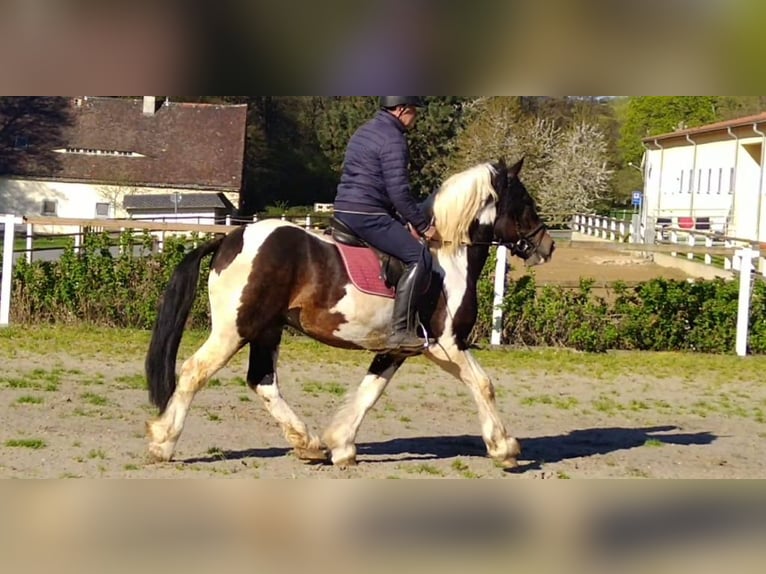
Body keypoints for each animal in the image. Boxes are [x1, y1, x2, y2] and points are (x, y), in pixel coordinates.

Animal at [145, 157, 555, 469]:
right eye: (524, 200)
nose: (547, 246)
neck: (449, 256)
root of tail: (230, 239)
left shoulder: (396, 348)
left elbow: (370, 391)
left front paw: (341, 445)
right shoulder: (447, 343)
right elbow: (483, 384)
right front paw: (504, 448)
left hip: (267, 330)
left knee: (262, 381)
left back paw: (308, 444)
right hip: (235, 330)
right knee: (195, 371)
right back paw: (163, 442)